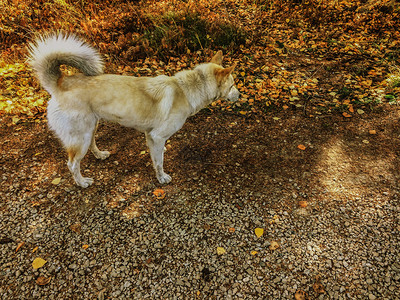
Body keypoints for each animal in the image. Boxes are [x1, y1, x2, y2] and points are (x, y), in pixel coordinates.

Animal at [28, 33, 241, 188]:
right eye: (232, 85)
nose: (239, 95)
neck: (185, 90)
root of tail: (60, 82)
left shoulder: (151, 136)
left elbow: (157, 156)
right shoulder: (156, 136)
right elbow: (159, 162)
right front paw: (161, 178)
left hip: (91, 127)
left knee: (91, 145)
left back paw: (100, 155)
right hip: (81, 135)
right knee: (72, 164)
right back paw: (82, 182)